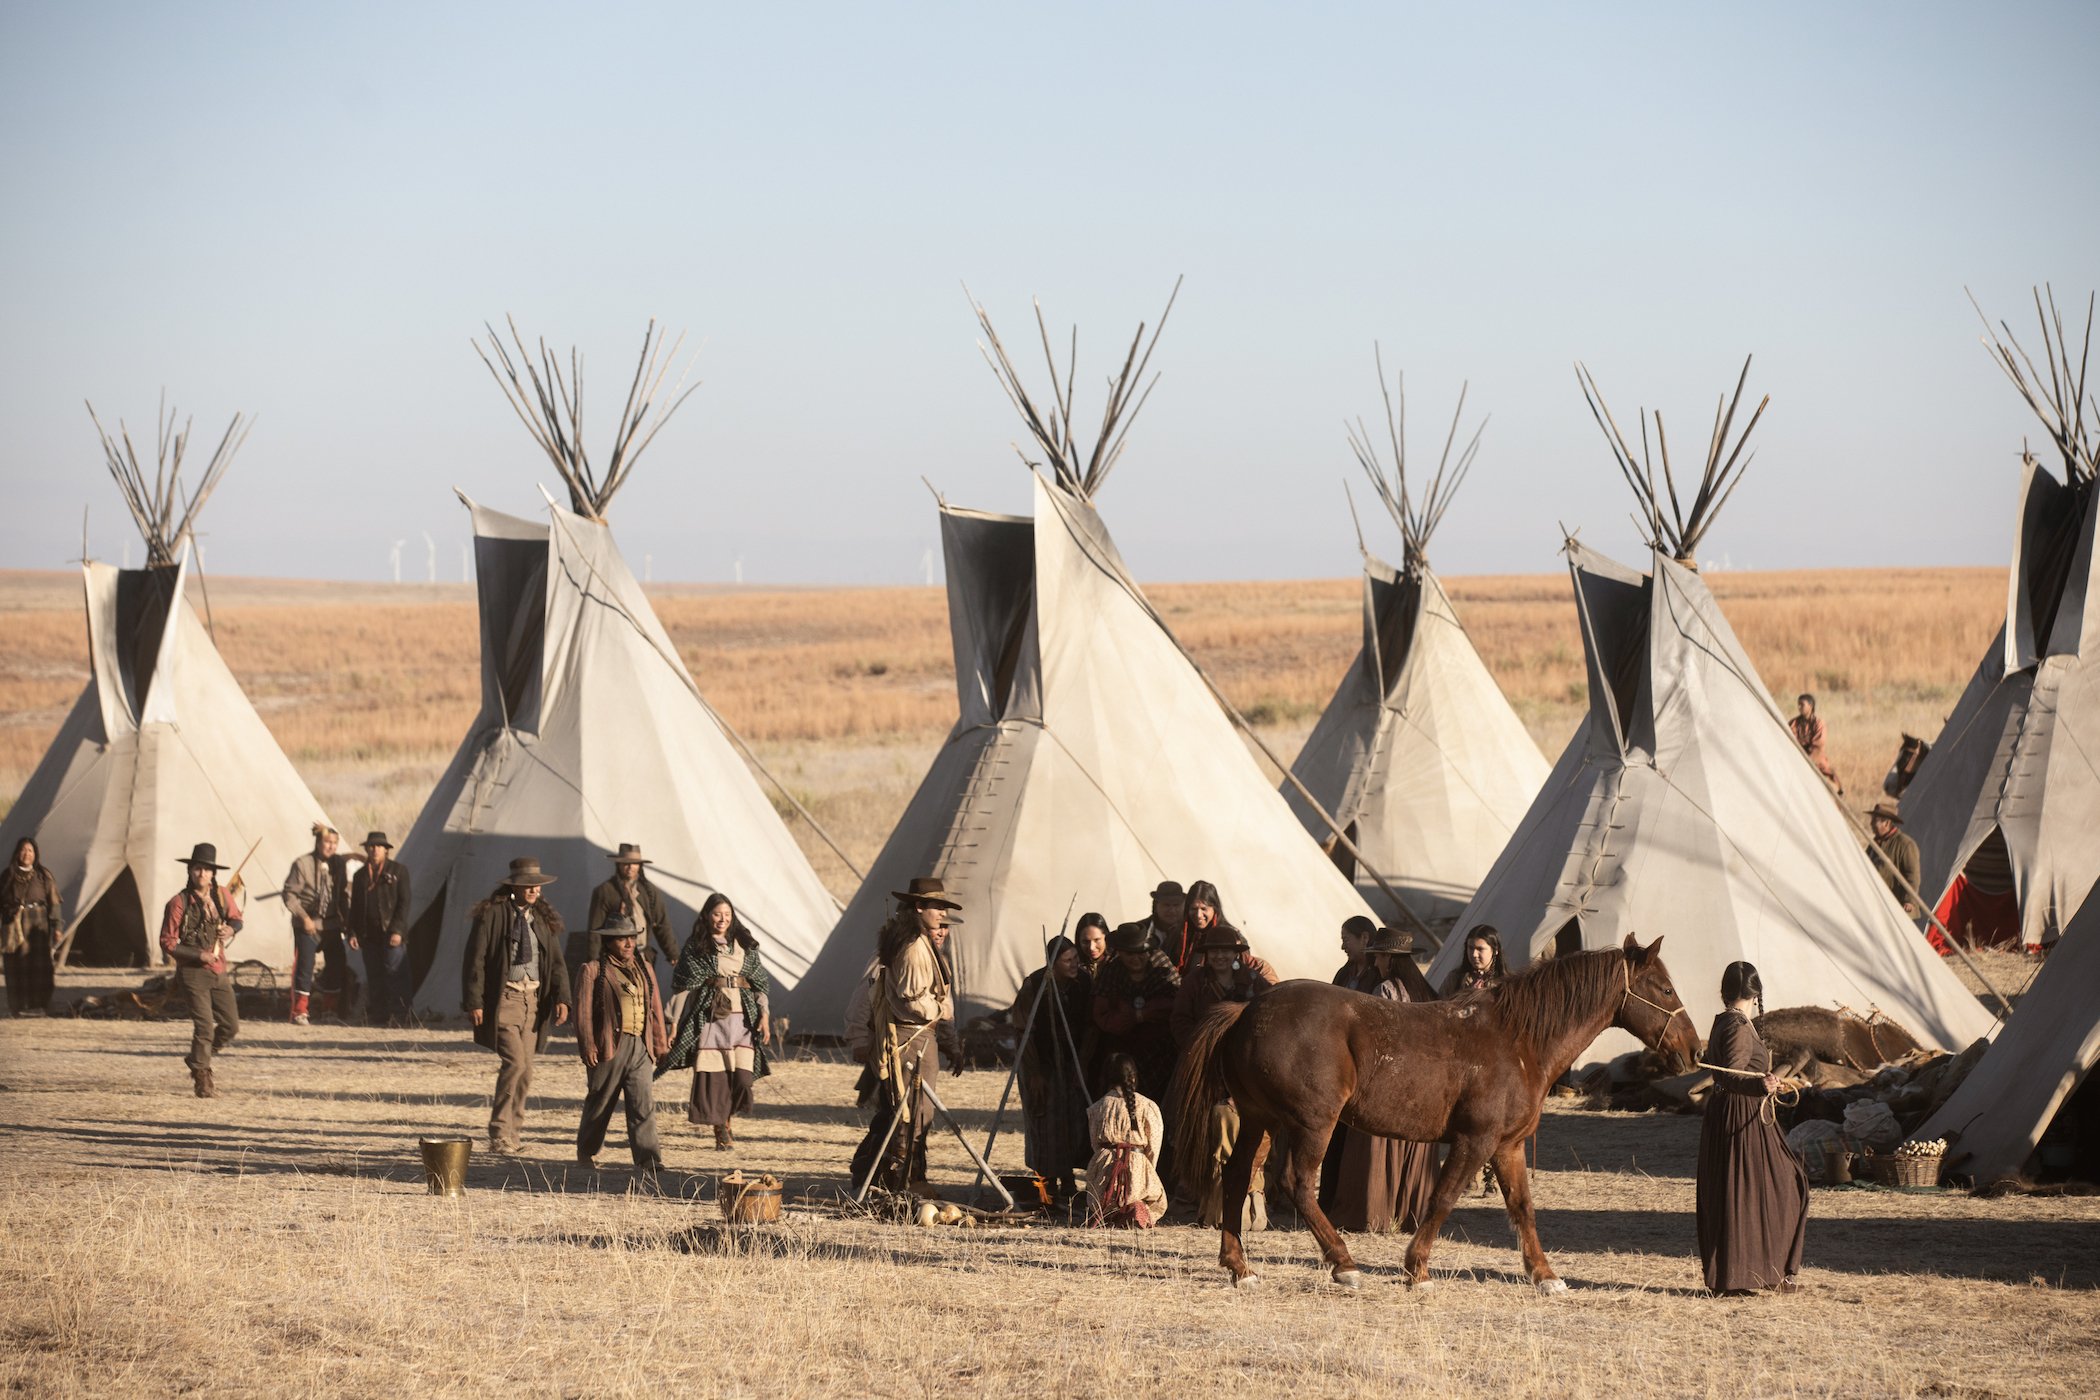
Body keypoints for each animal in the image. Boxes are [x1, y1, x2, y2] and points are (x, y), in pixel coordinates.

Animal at [1176, 936, 1696, 1301]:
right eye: (1666, 988)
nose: (1694, 1049)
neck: (1518, 1039)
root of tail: (1247, 1010)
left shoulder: (1506, 1146)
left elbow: (1522, 1208)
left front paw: (1545, 1275)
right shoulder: (1474, 1141)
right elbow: (1443, 1199)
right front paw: (1417, 1270)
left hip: (1260, 1119)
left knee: (1237, 1175)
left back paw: (1240, 1268)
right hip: (1311, 1124)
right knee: (1296, 1183)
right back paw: (1344, 1264)